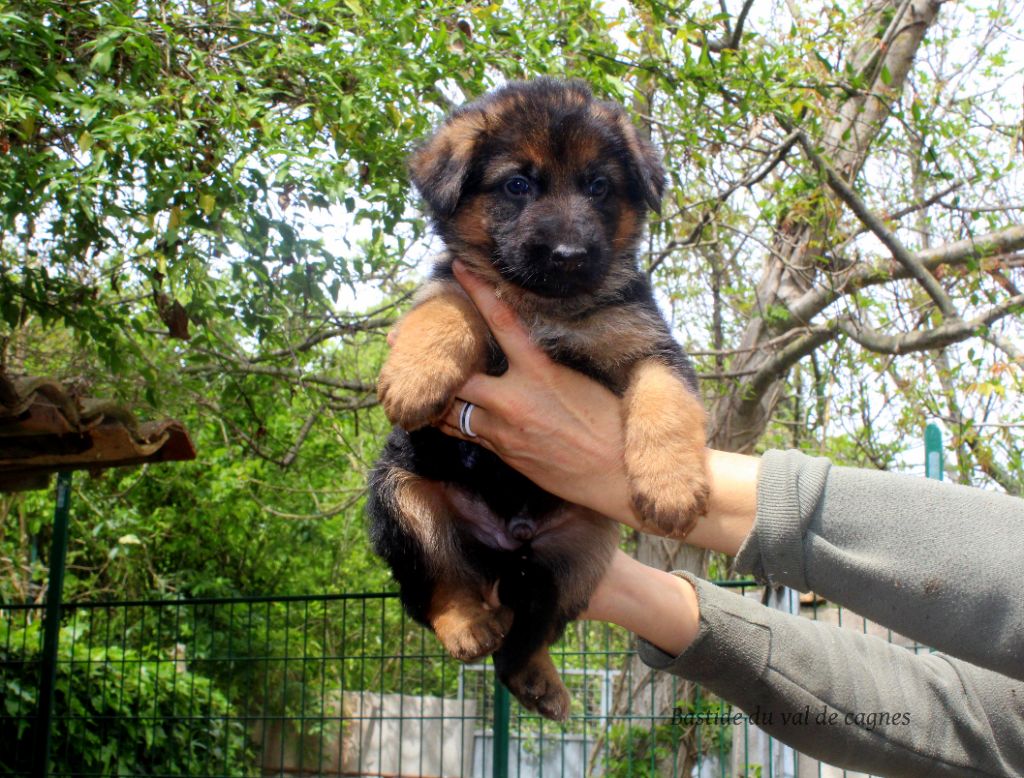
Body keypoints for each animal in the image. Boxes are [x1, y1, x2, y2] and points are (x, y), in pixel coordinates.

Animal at [364, 80, 708, 724]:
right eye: (517, 185)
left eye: (598, 186)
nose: (570, 254)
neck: (545, 307)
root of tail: (507, 547)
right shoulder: (457, 284)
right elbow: (448, 307)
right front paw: (417, 376)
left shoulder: (650, 346)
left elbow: (665, 401)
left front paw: (672, 483)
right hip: (401, 498)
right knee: (438, 586)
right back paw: (467, 623)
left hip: (583, 553)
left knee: (530, 634)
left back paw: (536, 677)